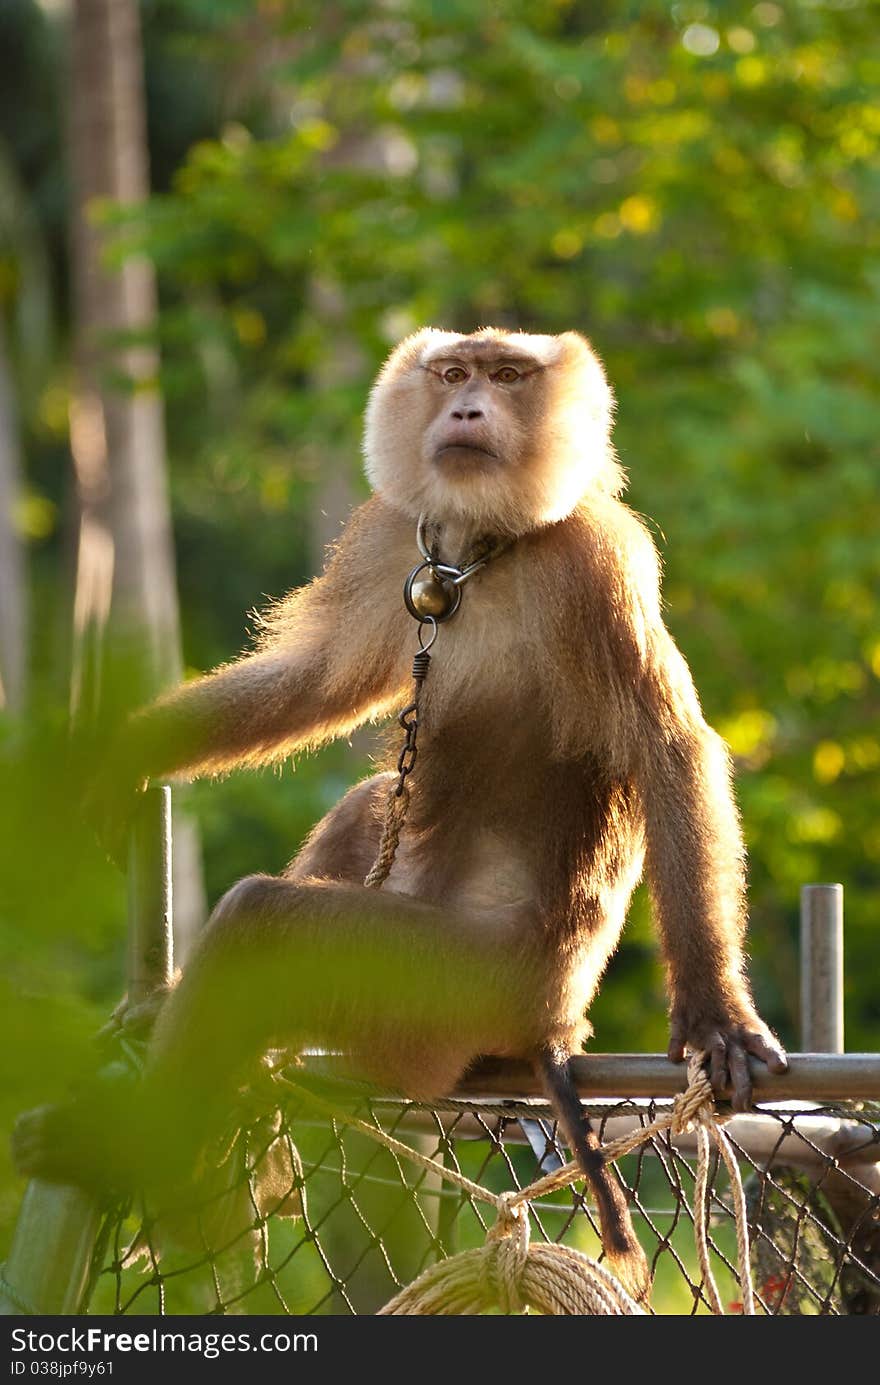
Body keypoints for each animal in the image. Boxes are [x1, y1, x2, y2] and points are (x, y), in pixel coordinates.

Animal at [13, 329, 787, 1301]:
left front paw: (718, 1016)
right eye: (455, 372)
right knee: (368, 808)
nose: (467, 407)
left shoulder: (596, 563)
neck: (480, 551)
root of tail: (549, 1028)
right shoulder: (393, 540)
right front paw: (130, 751)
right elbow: (317, 681)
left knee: (265, 925)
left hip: (454, 989)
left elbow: (668, 745)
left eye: (508, 376)